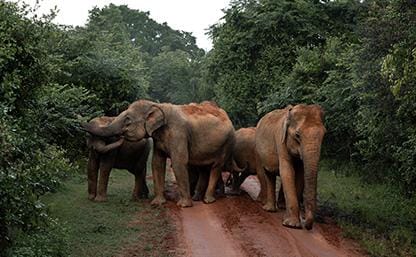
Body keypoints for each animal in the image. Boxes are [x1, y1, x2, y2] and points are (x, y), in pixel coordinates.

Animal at [81, 99, 236, 207]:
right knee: (204, 169)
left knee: (216, 167)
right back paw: (198, 198)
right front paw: (157, 203)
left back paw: (208, 201)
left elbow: (179, 162)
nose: (120, 137)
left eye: (128, 120)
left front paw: (184, 206)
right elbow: (157, 162)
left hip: (227, 144)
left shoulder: (178, 133)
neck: (157, 105)